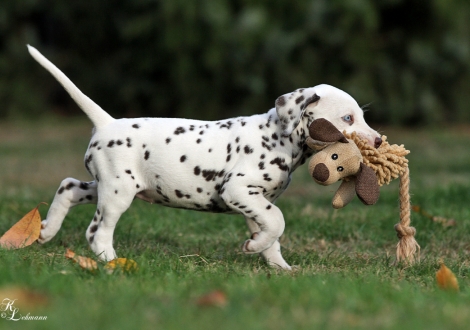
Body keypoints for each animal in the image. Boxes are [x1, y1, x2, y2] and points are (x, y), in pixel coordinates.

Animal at [26, 45, 382, 270]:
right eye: (348, 118)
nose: (378, 140)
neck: (278, 136)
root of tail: (107, 122)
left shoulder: (257, 201)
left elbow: (272, 232)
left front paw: (277, 264)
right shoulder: (239, 190)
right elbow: (278, 221)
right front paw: (257, 249)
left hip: (107, 185)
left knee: (69, 186)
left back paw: (46, 231)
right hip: (117, 193)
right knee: (97, 231)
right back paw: (111, 262)